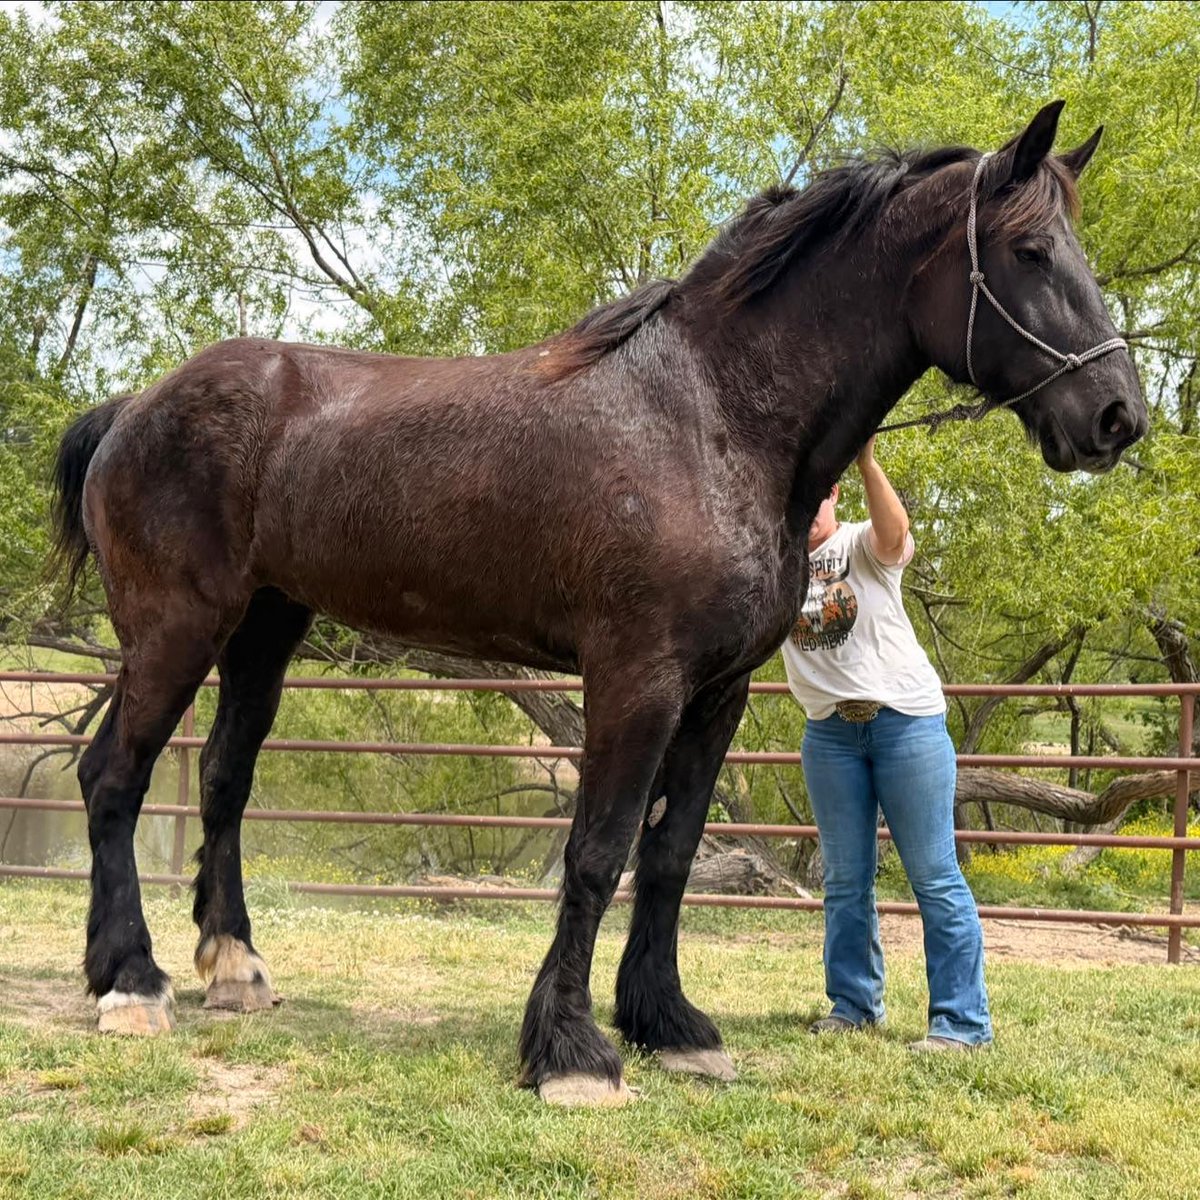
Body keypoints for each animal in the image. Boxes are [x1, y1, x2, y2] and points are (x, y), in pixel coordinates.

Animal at [48, 100, 1145, 1106]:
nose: (1117, 417)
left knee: (224, 779)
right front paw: (572, 1052)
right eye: (1032, 251)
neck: (711, 414)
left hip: (266, 628)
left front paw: (670, 1025)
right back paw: (131, 984)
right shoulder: (635, 680)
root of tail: (134, 407)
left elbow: (668, 857)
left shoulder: (716, 695)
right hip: (174, 629)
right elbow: (598, 852)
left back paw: (232, 968)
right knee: (113, 777)